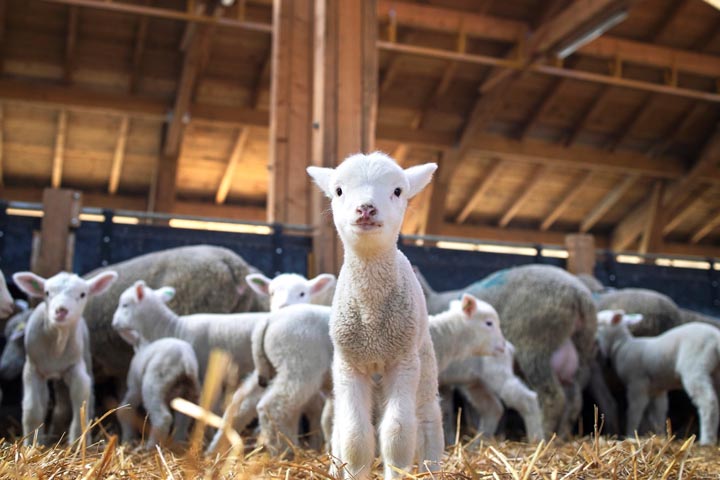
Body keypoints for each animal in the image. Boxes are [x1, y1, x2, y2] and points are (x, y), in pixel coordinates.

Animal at [11, 270, 118, 446]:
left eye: (82, 294)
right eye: (47, 293)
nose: (61, 310)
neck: (57, 344)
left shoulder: (76, 368)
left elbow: (81, 398)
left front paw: (78, 441)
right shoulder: (32, 369)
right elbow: (33, 407)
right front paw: (32, 443)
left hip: (86, 356)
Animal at [308, 153, 444, 480]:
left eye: (397, 191)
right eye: (339, 191)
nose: (366, 208)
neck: (371, 321)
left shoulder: (403, 361)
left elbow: (398, 432)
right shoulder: (349, 366)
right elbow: (355, 436)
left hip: (423, 358)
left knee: (428, 417)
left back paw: (433, 468)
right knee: (339, 426)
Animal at [414, 266, 600, 438]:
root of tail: (579, 294)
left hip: (535, 349)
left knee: (551, 397)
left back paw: (545, 435)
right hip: (580, 356)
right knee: (574, 401)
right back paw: (562, 436)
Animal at [592, 310, 720, 444]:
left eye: (599, 322)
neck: (621, 345)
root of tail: (716, 337)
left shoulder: (637, 383)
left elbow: (635, 410)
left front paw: (630, 434)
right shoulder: (657, 389)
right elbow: (659, 413)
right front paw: (661, 435)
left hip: (695, 367)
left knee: (708, 401)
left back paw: (707, 440)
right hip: (715, 373)